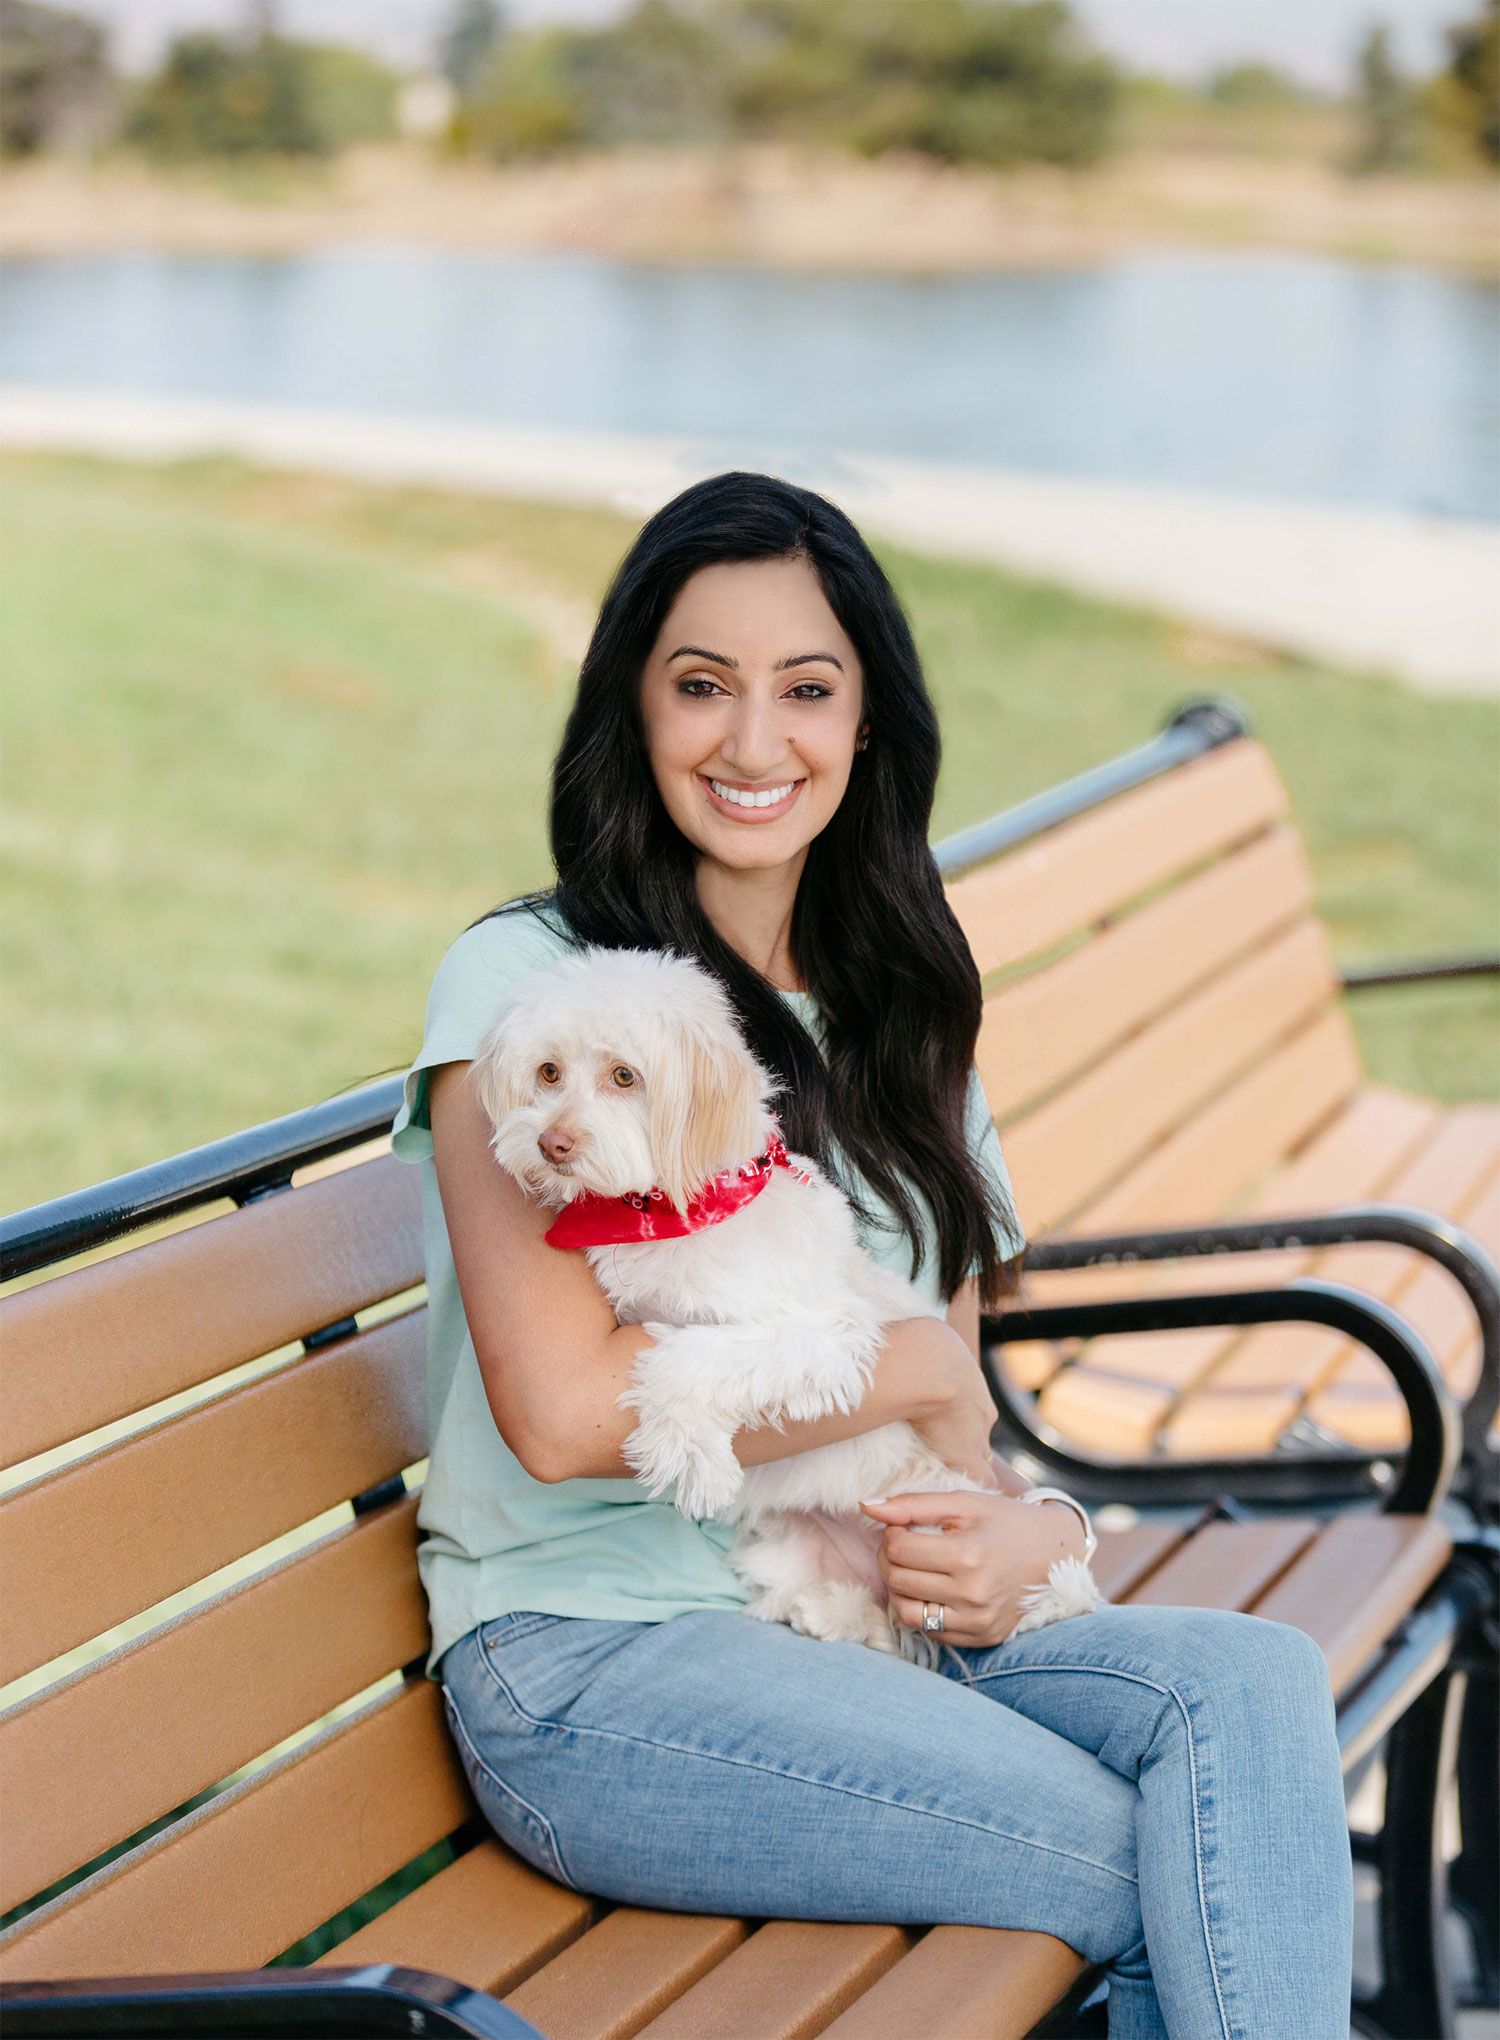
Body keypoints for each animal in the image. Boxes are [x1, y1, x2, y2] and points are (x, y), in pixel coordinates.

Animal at [477, 942, 1102, 1656]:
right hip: (785, 1545)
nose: (551, 1143)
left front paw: (689, 1458)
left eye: (624, 1076)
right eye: (548, 1071)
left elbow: (688, 1357)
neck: (674, 1211)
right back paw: (829, 1612)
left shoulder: (822, 1336)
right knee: (871, 1619)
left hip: (936, 1521)